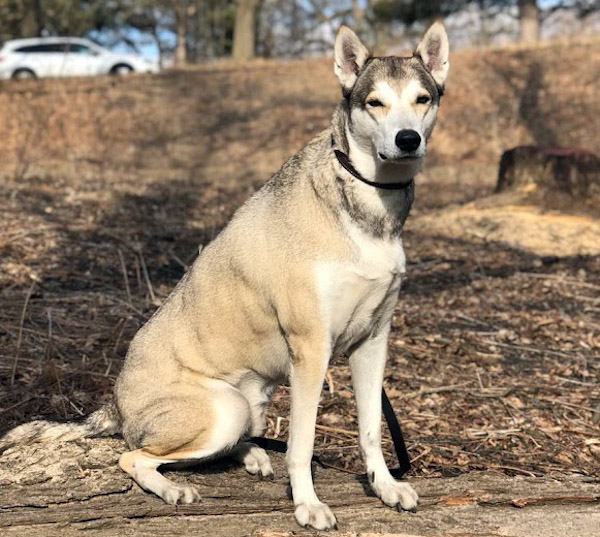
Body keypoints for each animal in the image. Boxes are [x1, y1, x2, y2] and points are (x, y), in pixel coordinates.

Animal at [1, 24, 450, 528]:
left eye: (422, 99)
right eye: (374, 102)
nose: (408, 139)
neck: (368, 201)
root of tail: (115, 403)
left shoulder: (373, 343)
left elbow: (371, 430)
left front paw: (385, 487)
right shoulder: (311, 349)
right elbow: (302, 444)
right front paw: (307, 503)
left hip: (251, 404)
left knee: (213, 448)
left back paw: (250, 455)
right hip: (225, 409)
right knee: (135, 456)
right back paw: (173, 488)